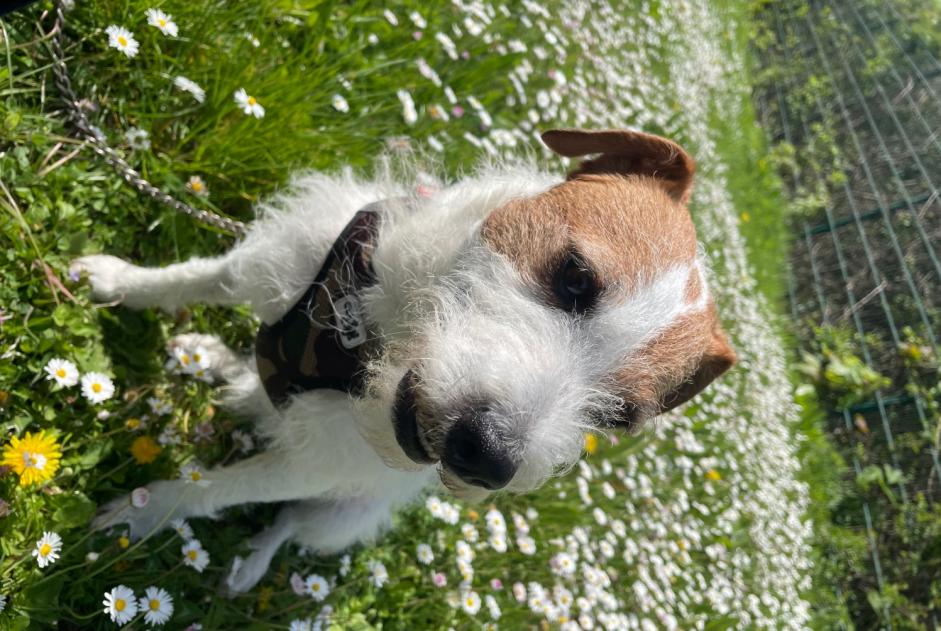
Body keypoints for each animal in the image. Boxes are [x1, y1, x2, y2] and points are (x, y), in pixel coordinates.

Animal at [75, 128, 736, 592]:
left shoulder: (312, 467)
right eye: (575, 277)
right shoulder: (275, 262)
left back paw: (250, 564)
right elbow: (191, 279)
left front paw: (142, 511)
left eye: (619, 417)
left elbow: (214, 490)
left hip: (336, 518)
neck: (375, 339)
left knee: (287, 526)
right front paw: (114, 279)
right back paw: (216, 360)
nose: (489, 458)